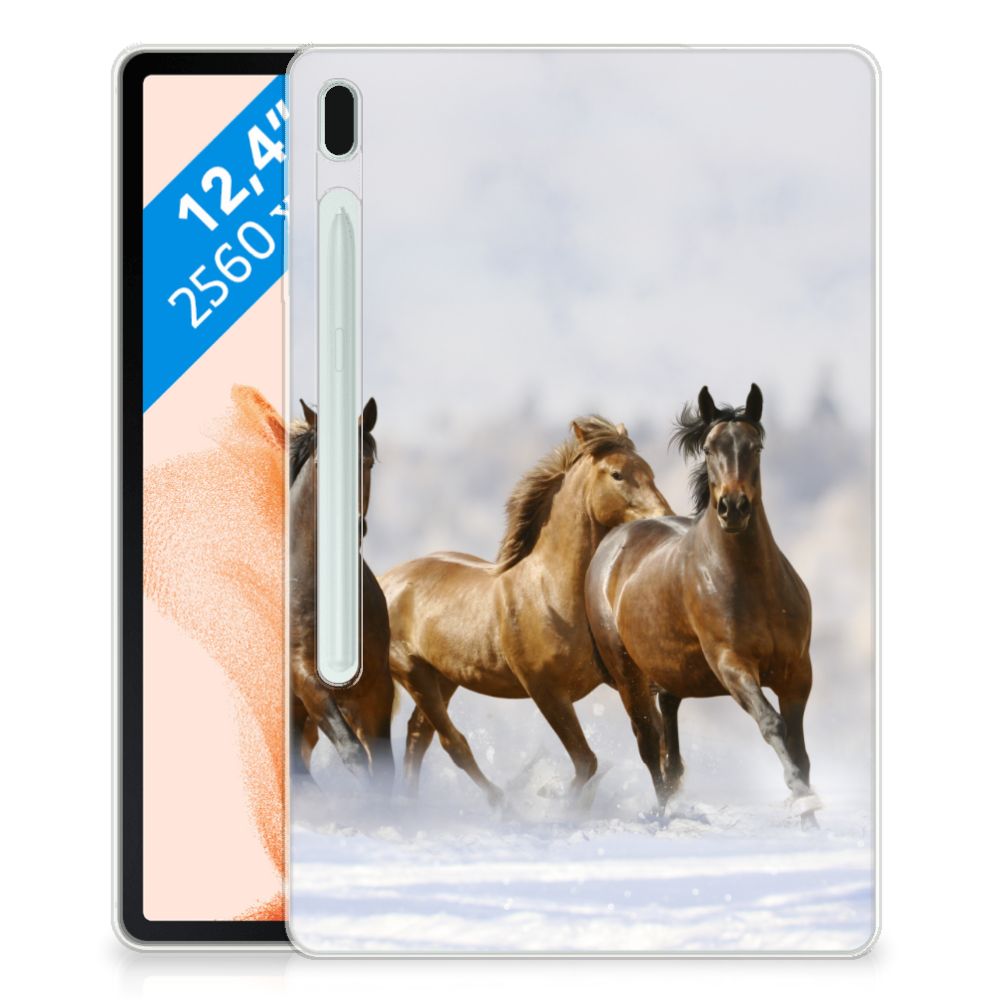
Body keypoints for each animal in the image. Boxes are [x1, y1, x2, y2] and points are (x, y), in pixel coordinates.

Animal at [289, 398, 395, 790]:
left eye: (366, 462)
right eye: (323, 463)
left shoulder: (377, 686)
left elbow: (382, 766)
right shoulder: (305, 678)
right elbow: (353, 753)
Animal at [380, 416, 671, 807]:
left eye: (649, 471)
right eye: (617, 474)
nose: (665, 518)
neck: (551, 593)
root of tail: (385, 582)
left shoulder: (627, 679)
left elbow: (651, 741)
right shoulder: (546, 691)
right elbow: (587, 762)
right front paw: (559, 803)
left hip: (444, 677)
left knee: (417, 737)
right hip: (414, 673)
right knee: (451, 742)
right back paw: (500, 802)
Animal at [585, 385, 819, 826]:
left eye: (755, 446)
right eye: (710, 448)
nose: (733, 507)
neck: (753, 584)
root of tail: (613, 542)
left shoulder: (797, 671)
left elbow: (799, 748)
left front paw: (810, 817)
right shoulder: (732, 664)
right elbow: (772, 725)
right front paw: (802, 800)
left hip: (670, 676)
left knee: (670, 750)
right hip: (629, 677)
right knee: (650, 746)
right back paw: (664, 816)